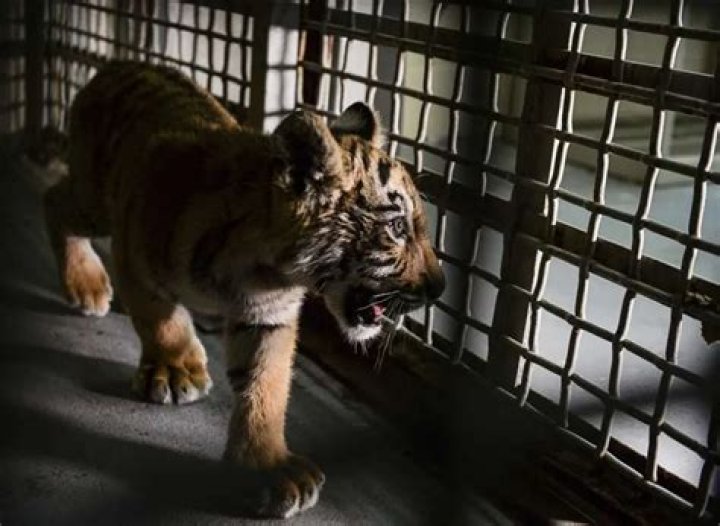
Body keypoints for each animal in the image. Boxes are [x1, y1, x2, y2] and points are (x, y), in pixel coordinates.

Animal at [43, 61, 445, 518]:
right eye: (397, 227)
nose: (440, 287)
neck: (267, 268)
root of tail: (115, 65)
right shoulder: (135, 257)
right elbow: (160, 322)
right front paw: (175, 371)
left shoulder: (269, 316)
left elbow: (266, 384)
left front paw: (266, 466)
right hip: (95, 200)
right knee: (52, 199)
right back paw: (87, 286)